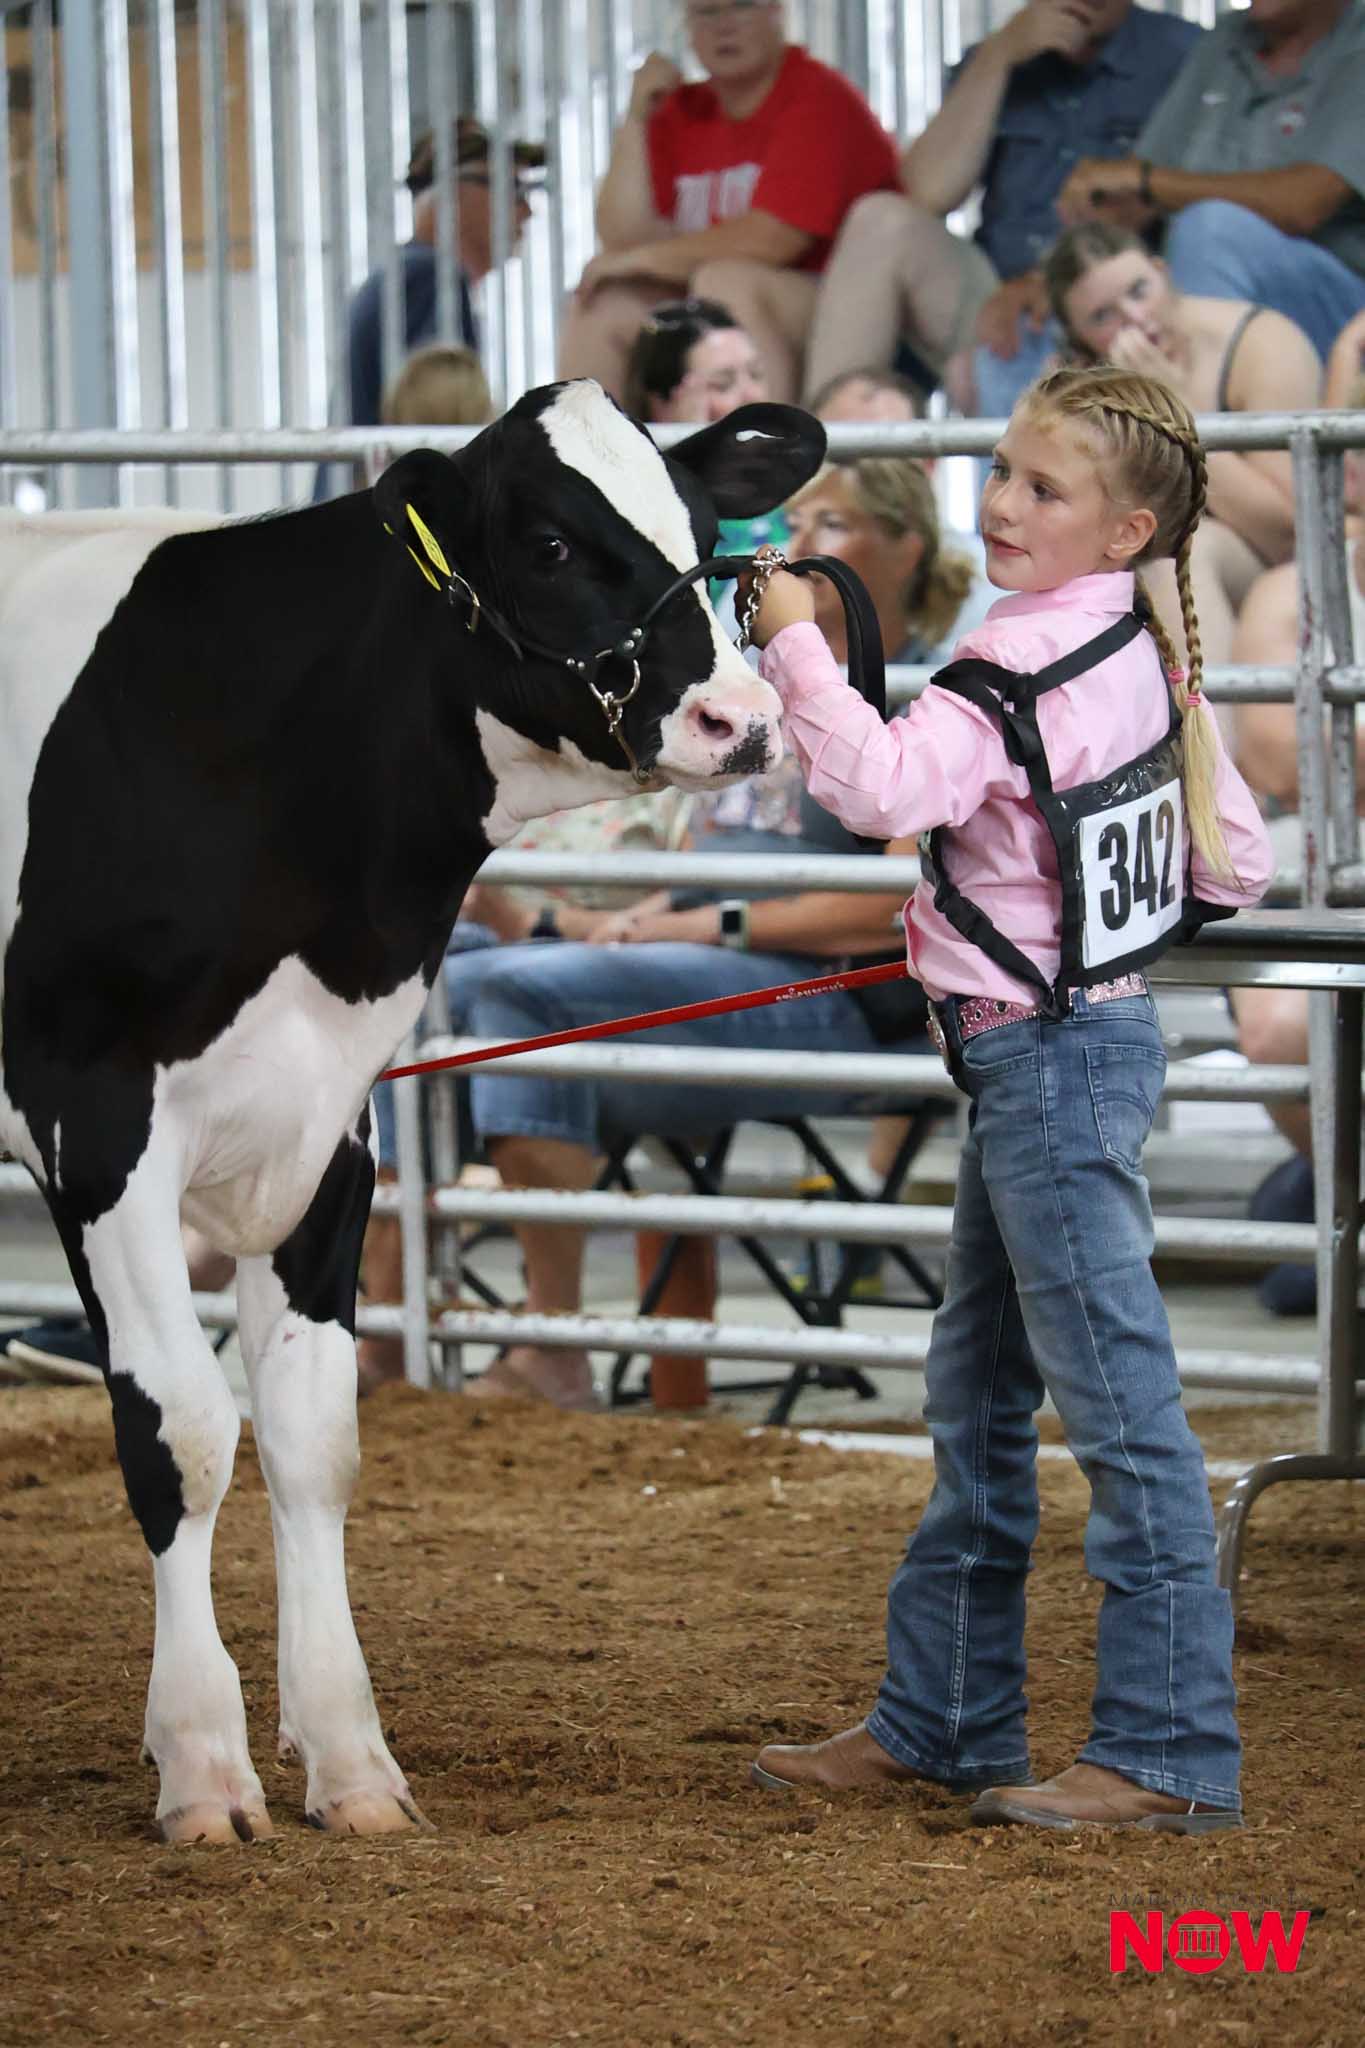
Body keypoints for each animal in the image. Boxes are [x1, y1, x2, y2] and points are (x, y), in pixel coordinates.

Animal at [0, 379, 825, 1842]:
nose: (743, 717)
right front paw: (202, 1765)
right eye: (549, 545)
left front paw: (349, 1762)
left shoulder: (330, 1125)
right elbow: (183, 1431)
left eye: (699, 522)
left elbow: (312, 1440)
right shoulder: (87, 1115)